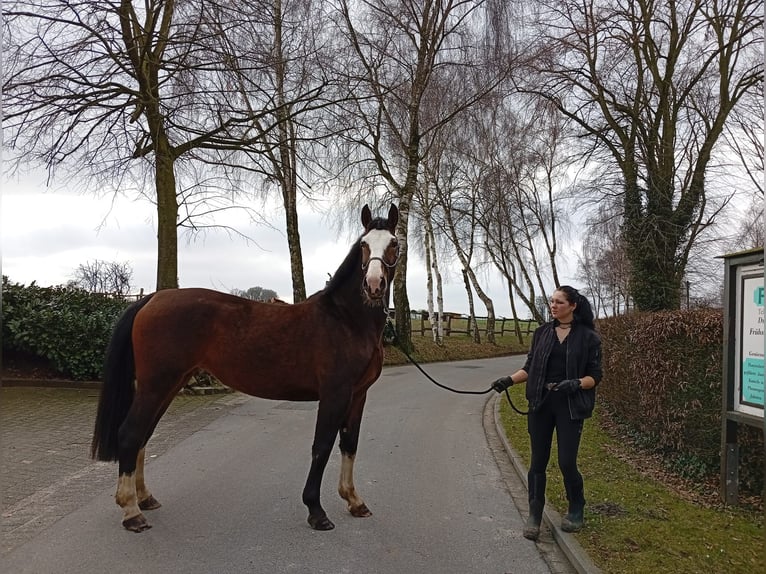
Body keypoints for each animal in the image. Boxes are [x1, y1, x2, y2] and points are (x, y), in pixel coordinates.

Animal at [91, 203, 400, 532]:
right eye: (364, 245)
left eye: (394, 243)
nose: (374, 285)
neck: (345, 320)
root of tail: (151, 299)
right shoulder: (334, 394)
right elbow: (322, 446)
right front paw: (316, 511)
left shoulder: (358, 396)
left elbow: (349, 444)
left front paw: (354, 501)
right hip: (156, 385)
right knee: (130, 433)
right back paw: (131, 512)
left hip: (169, 385)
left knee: (143, 435)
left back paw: (145, 498)